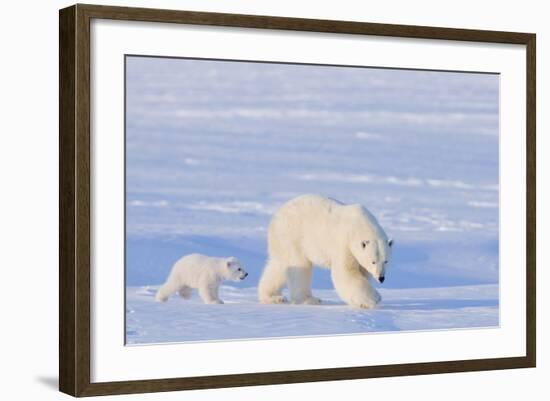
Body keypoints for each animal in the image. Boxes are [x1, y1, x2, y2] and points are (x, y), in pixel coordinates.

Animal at [258, 194, 392, 306]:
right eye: (373, 261)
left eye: (386, 261)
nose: (381, 278)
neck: (359, 226)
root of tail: (276, 216)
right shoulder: (343, 243)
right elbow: (346, 273)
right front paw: (375, 298)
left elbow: (361, 273)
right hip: (292, 235)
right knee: (299, 266)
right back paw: (310, 299)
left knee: (279, 266)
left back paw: (272, 297)